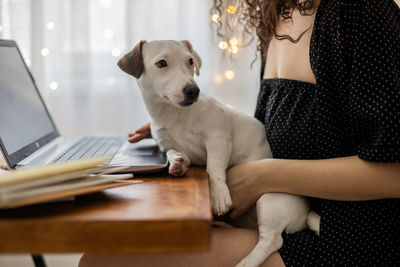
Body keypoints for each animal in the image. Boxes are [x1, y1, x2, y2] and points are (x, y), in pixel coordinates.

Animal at [118, 40, 318, 267]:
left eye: (190, 61)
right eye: (161, 63)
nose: (193, 90)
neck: (173, 114)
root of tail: (306, 215)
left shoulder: (218, 138)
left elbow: (213, 169)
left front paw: (219, 197)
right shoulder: (170, 145)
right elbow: (174, 153)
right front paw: (177, 163)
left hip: (270, 200)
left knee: (272, 240)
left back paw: (248, 261)